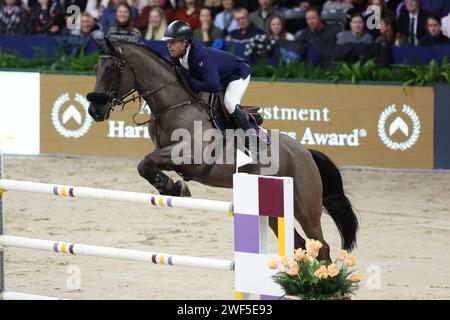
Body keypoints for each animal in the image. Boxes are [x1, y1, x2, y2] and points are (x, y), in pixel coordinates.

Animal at [86, 38, 356, 262]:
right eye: (96, 69)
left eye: (113, 70)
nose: (95, 111)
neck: (175, 104)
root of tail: (306, 153)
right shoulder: (168, 153)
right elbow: (146, 165)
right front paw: (172, 187)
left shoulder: (190, 155)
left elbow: (146, 162)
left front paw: (173, 188)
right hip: (273, 210)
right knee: (301, 244)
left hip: (305, 208)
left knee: (321, 246)